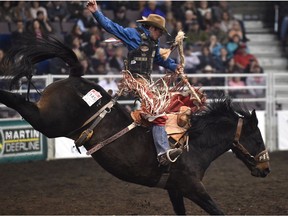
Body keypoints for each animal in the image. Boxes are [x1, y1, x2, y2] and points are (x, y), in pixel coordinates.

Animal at [0, 35, 270, 214]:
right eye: (257, 138)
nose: (266, 169)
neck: (194, 145)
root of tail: (76, 77)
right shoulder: (193, 187)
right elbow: (217, 211)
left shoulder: (175, 189)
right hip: (50, 121)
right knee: (17, 101)